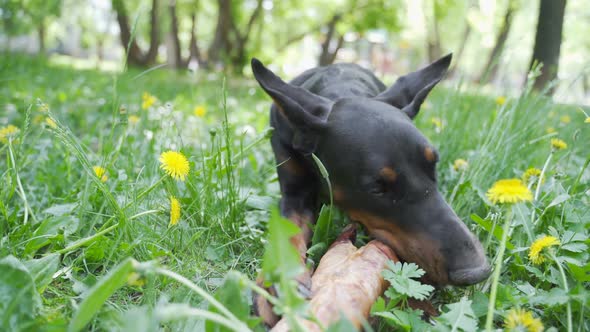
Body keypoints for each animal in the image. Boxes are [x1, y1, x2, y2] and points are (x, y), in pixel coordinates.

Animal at [252, 54, 492, 326]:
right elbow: (287, 232)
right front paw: (275, 283)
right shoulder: (294, 193)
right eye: (377, 188)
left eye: (433, 165)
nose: (476, 271)